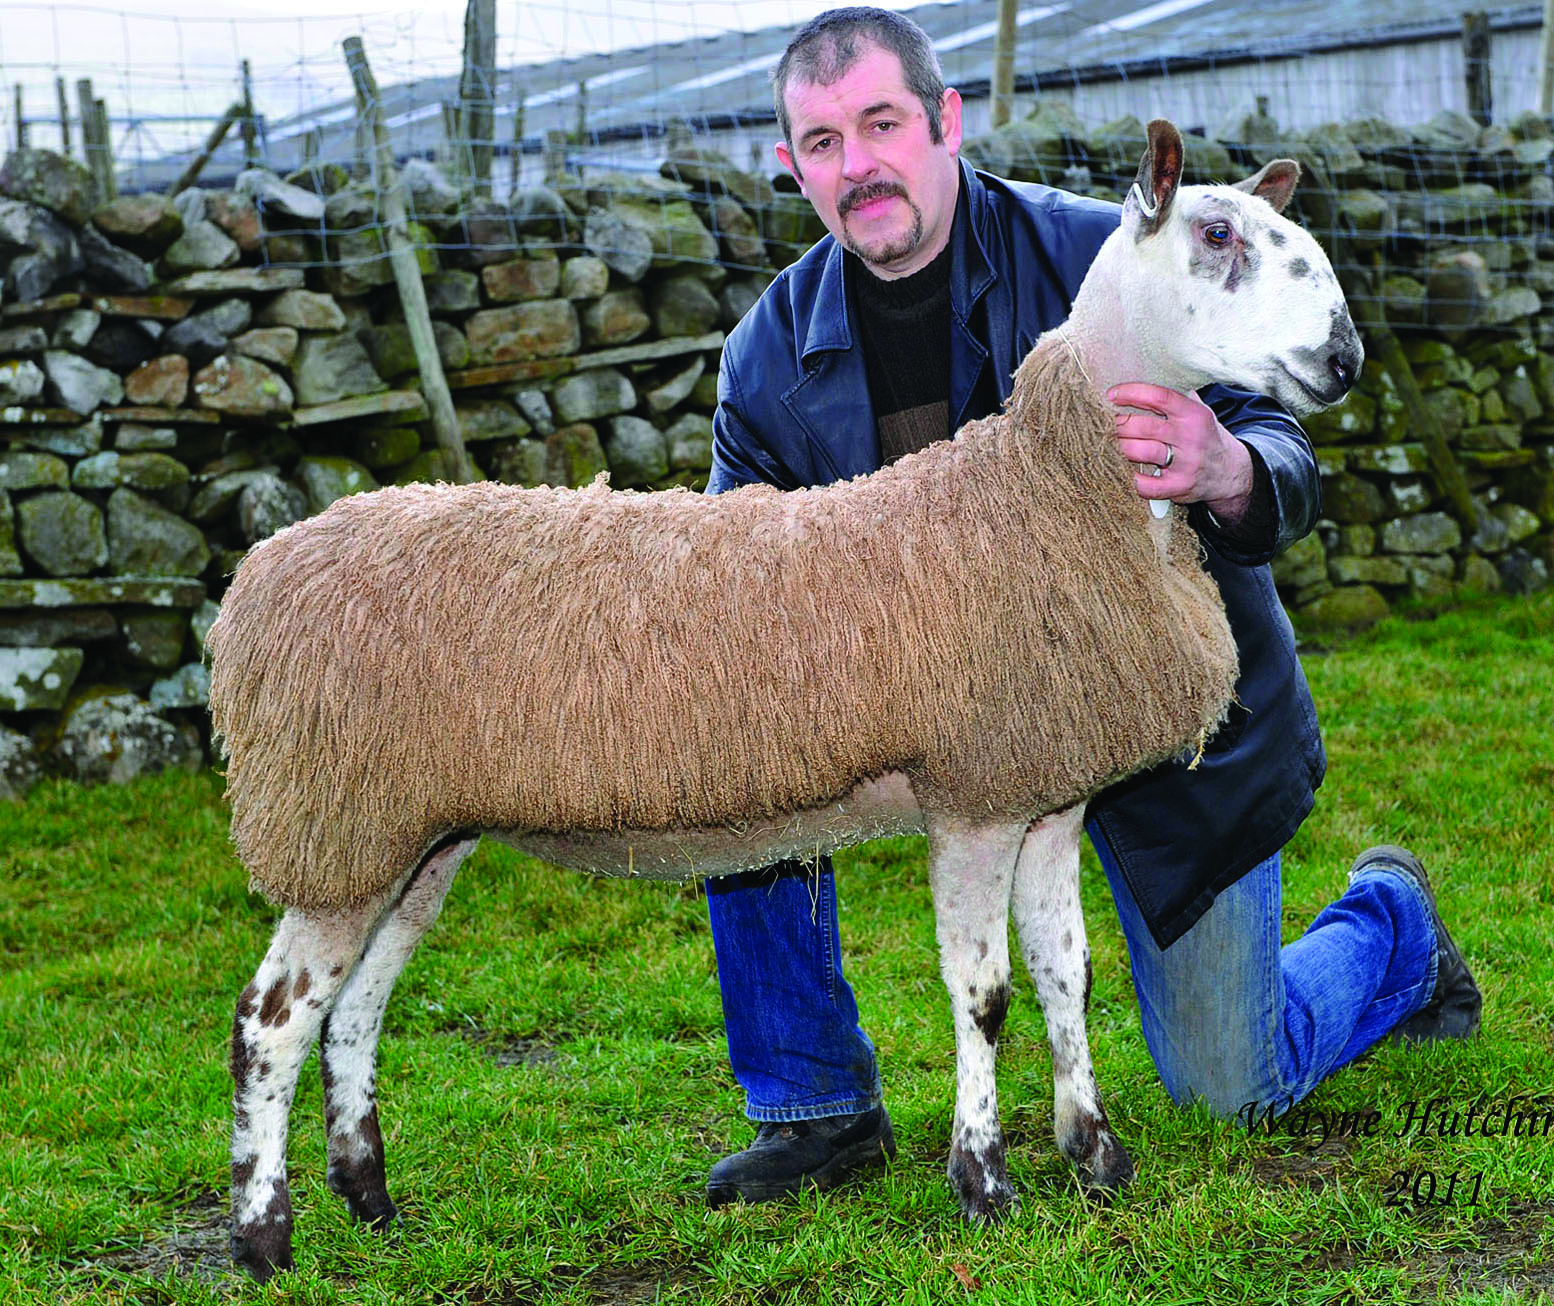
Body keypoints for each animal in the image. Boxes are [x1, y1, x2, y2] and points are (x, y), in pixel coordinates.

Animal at [209, 117, 1361, 1281]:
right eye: (1217, 234)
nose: (1346, 357)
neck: (1059, 486)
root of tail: (258, 579)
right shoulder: (974, 797)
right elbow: (986, 996)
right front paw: (985, 1186)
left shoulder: (1049, 795)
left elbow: (1066, 979)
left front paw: (1097, 1157)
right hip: (337, 821)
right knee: (270, 1023)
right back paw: (264, 1236)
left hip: (413, 835)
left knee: (354, 1011)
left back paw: (371, 1200)